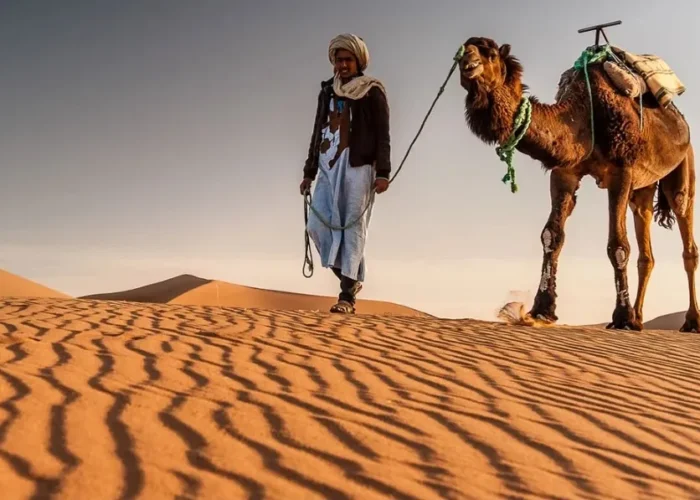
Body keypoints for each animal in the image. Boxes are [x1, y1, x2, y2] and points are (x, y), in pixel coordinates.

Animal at [458, 36, 698, 332]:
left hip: (684, 164)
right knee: (645, 245)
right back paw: (640, 318)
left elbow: (618, 245)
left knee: (686, 230)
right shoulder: (564, 172)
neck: (585, 114)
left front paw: (621, 317)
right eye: (461, 51)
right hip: (643, 188)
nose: (468, 62)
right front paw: (542, 309)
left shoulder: (621, 171)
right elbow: (552, 235)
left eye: (490, 54)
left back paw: (690, 321)